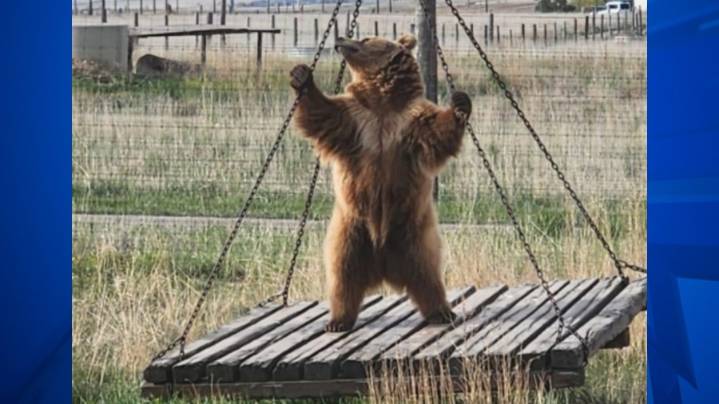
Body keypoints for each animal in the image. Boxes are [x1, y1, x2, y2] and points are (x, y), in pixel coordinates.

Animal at [289, 34, 472, 332]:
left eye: (364, 38)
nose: (340, 38)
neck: (382, 102)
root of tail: (384, 266)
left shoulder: (411, 120)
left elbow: (438, 131)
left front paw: (459, 102)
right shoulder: (354, 118)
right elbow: (322, 113)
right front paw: (301, 75)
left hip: (412, 234)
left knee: (428, 275)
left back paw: (442, 313)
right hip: (351, 230)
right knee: (343, 275)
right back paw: (338, 320)